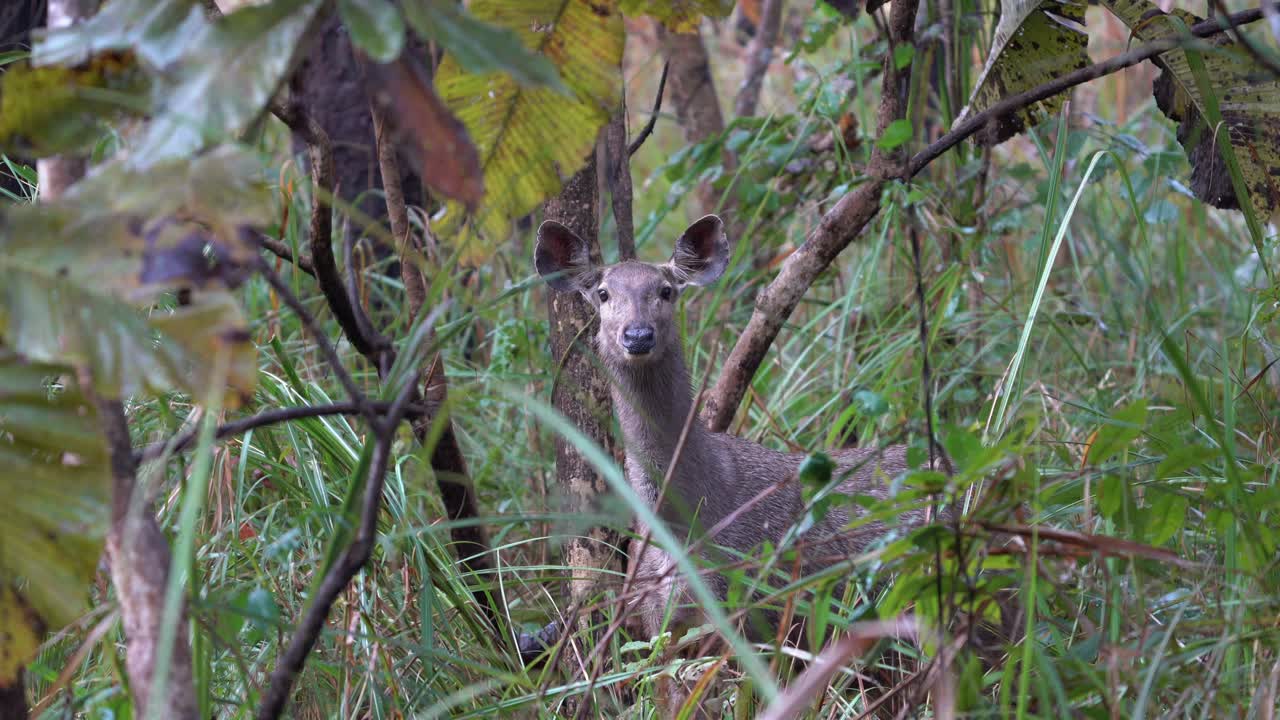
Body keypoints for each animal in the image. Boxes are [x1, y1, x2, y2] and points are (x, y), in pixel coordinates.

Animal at [532, 214, 1004, 715]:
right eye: (603, 293)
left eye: (666, 290)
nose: (637, 335)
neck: (688, 520)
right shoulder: (657, 616)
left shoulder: (744, 607)